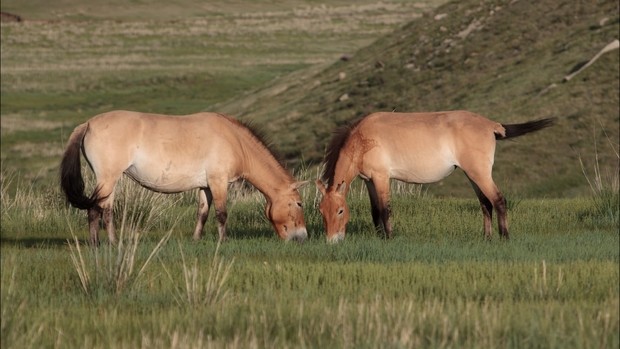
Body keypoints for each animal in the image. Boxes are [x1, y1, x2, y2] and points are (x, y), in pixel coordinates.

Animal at [60, 110, 308, 243]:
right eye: (299, 203)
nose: (302, 236)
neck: (234, 140)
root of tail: (88, 124)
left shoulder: (206, 186)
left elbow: (203, 213)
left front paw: (196, 239)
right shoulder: (218, 182)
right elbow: (222, 214)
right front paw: (223, 241)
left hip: (110, 181)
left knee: (107, 210)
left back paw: (112, 242)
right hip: (107, 179)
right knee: (94, 209)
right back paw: (96, 244)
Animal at [318, 111, 556, 242]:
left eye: (340, 211)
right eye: (321, 211)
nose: (331, 240)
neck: (362, 138)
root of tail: (491, 125)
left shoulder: (381, 178)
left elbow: (385, 210)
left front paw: (389, 238)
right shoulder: (369, 181)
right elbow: (375, 212)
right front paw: (380, 237)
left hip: (479, 173)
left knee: (498, 200)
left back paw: (504, 238)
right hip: (472, 175)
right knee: (485, 204)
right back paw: (486, 238)